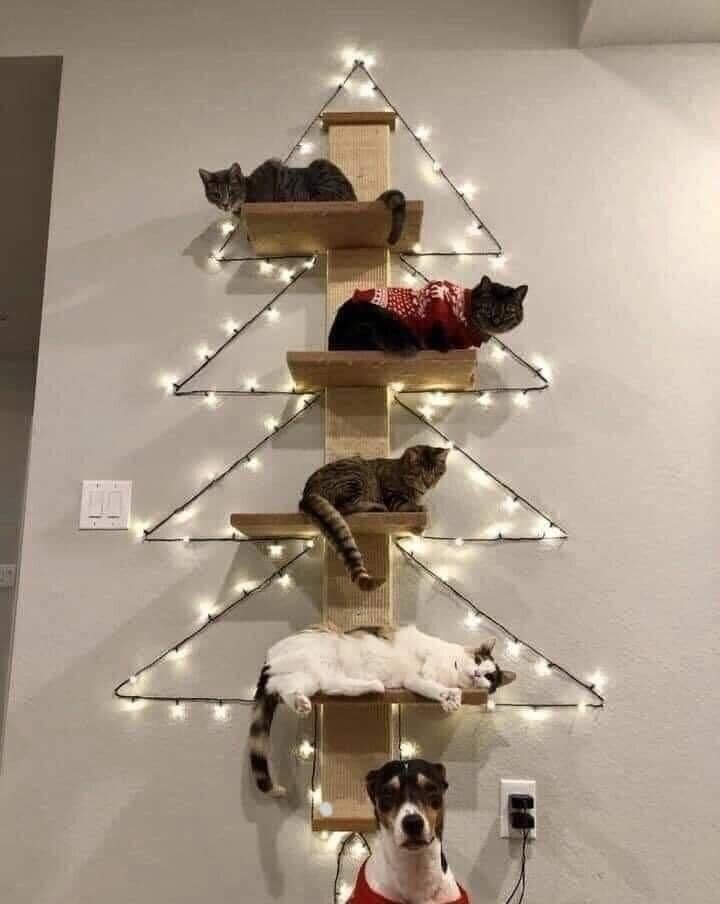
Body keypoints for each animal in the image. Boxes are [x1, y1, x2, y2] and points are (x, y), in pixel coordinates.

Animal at [249, 625, 515, 795]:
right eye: (479, 661)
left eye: (490, 677)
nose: (477, 673)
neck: (451, 673)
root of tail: (268, 660)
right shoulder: (423, 653)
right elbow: (428, 667)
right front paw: (446, 691)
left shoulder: (412, 683)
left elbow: (431, 687)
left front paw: (449, 698)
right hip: (318, 651)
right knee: (297, 682)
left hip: (312, 679)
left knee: (307, 687)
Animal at [299, 445, 449, 591]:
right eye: (421, 474)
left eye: (436, 474)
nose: (429, 484)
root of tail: (307, 494)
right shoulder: (392, 496)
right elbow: (406, 504)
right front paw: (420, 507)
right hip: (356, 477)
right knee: (345, 507)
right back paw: (376, 507)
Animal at [328, 276, 528, 355]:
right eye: (487, 307)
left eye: (509, 311)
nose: (496, 321)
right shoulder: (435, 311)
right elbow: (437, 336)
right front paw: (447, 347)